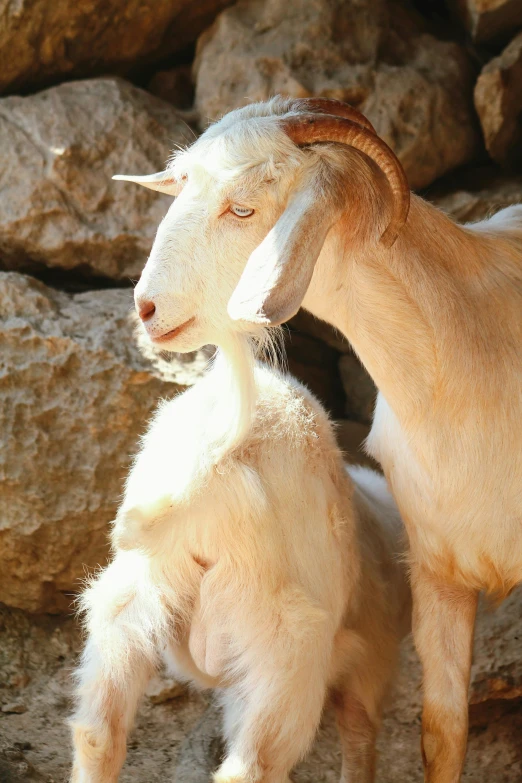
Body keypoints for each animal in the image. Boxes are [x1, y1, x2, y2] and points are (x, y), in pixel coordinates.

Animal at [70, 336, 410, 783]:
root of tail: (208, 466)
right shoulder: (369, 664)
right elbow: (360, 737)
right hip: (287, 644)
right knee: (251, 767)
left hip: (132, 598)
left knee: (98, 733)